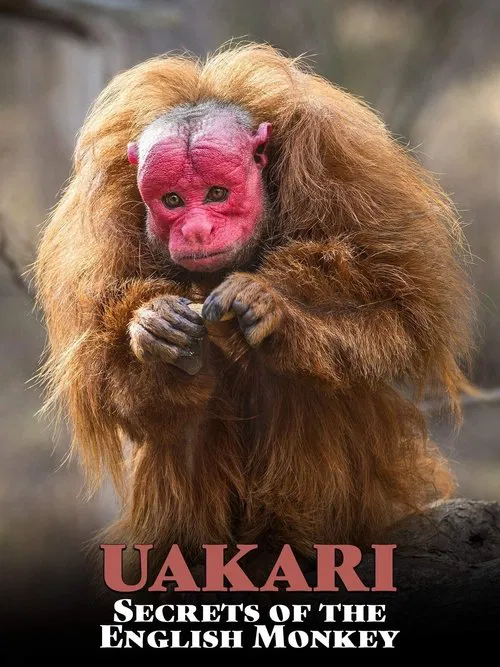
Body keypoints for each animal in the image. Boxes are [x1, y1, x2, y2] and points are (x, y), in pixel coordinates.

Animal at [35, 44, 473, 562]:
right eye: (173, 200)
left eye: (217, 194)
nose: (196, 230)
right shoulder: (100, 223)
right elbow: (102, 376)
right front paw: (153, 330)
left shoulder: (341, 165)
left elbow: (404, 314)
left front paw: (272, 310)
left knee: (298, 377)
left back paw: (300, 537)